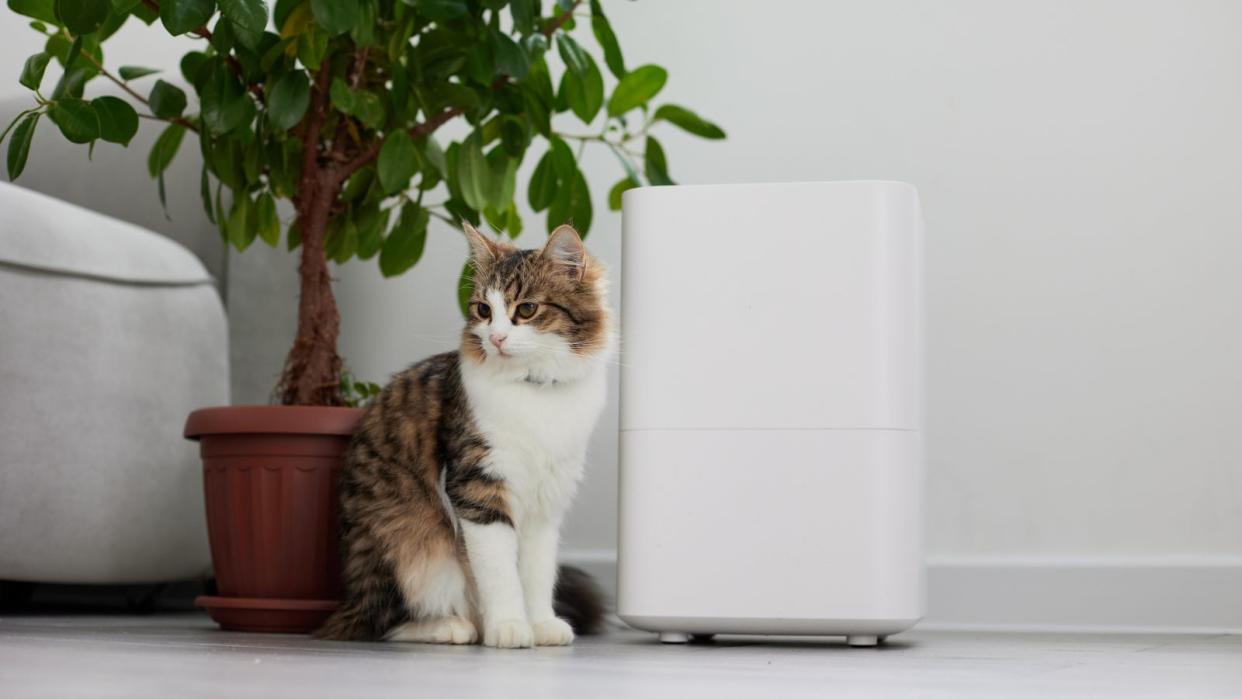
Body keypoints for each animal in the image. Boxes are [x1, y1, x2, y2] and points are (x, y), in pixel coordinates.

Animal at [317, 225, 613, 650]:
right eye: (483, 310)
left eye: (526, 309)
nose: (497, 338)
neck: (535, 389)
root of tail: (351, 596)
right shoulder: (478, 487)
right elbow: (500, 573)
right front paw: (509, 626)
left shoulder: (547, 501)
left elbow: (537, 574)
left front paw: (541, 623)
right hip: (410, 546)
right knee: (381, 622)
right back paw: (455, 627)